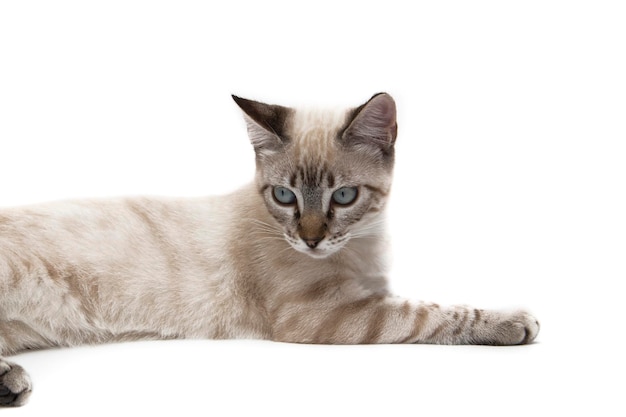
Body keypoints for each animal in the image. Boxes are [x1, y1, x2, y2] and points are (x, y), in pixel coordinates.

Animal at [0, 92, 536, 404]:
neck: (362, 242)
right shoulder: (329, 315)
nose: (311, 238)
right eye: (284, 195)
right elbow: (434, 313)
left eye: (344, 196)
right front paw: (512, 322)